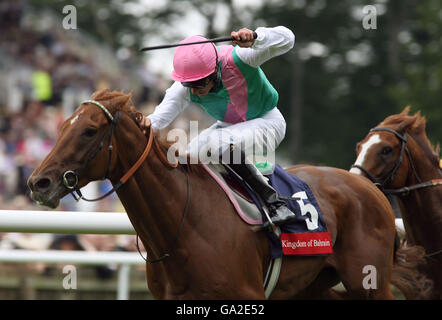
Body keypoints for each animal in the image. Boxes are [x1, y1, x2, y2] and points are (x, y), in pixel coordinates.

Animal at [28, 89, 428, 298]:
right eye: (62, 127)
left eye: (89, 131)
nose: (38, 183)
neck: (184, 224)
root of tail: (368, 187)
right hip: (312, 287)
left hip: (368, 282)